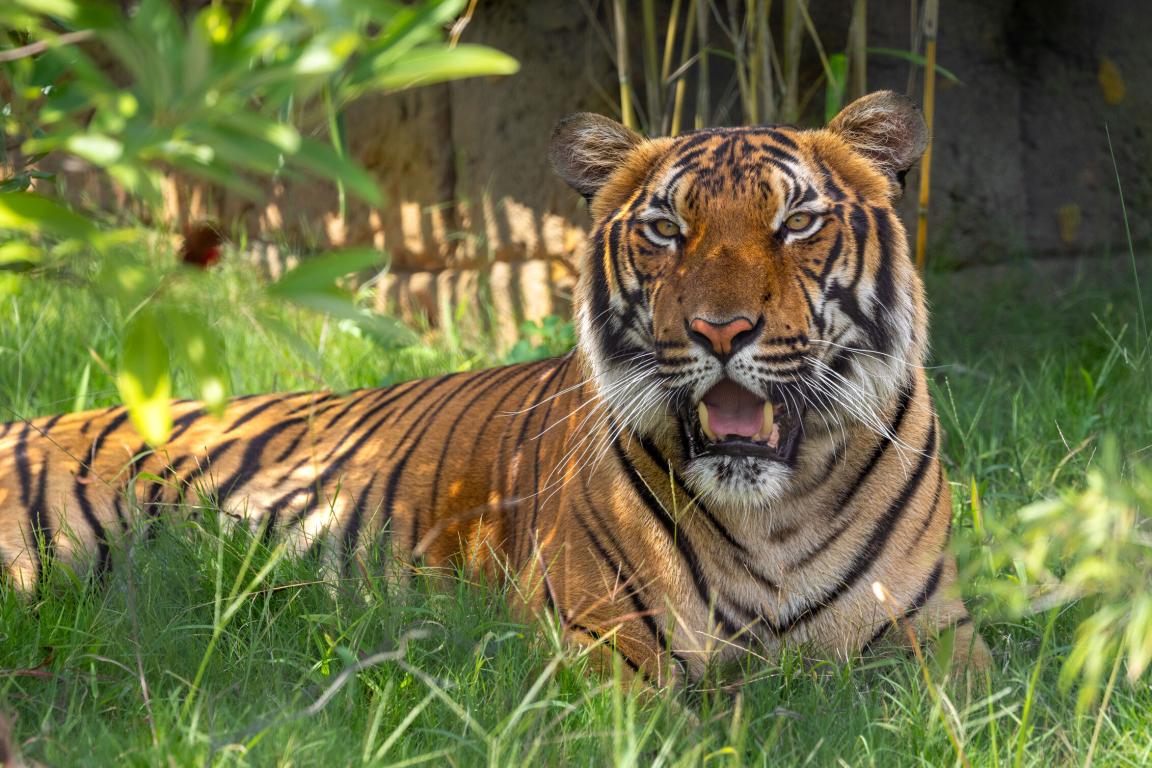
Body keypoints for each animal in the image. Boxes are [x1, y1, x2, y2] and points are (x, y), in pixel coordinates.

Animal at [0, 91, 989, 683]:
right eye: (666, 229)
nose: (720, 330)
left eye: (797, 224)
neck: (773, 511)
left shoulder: (940, 634)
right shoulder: (602, 639)